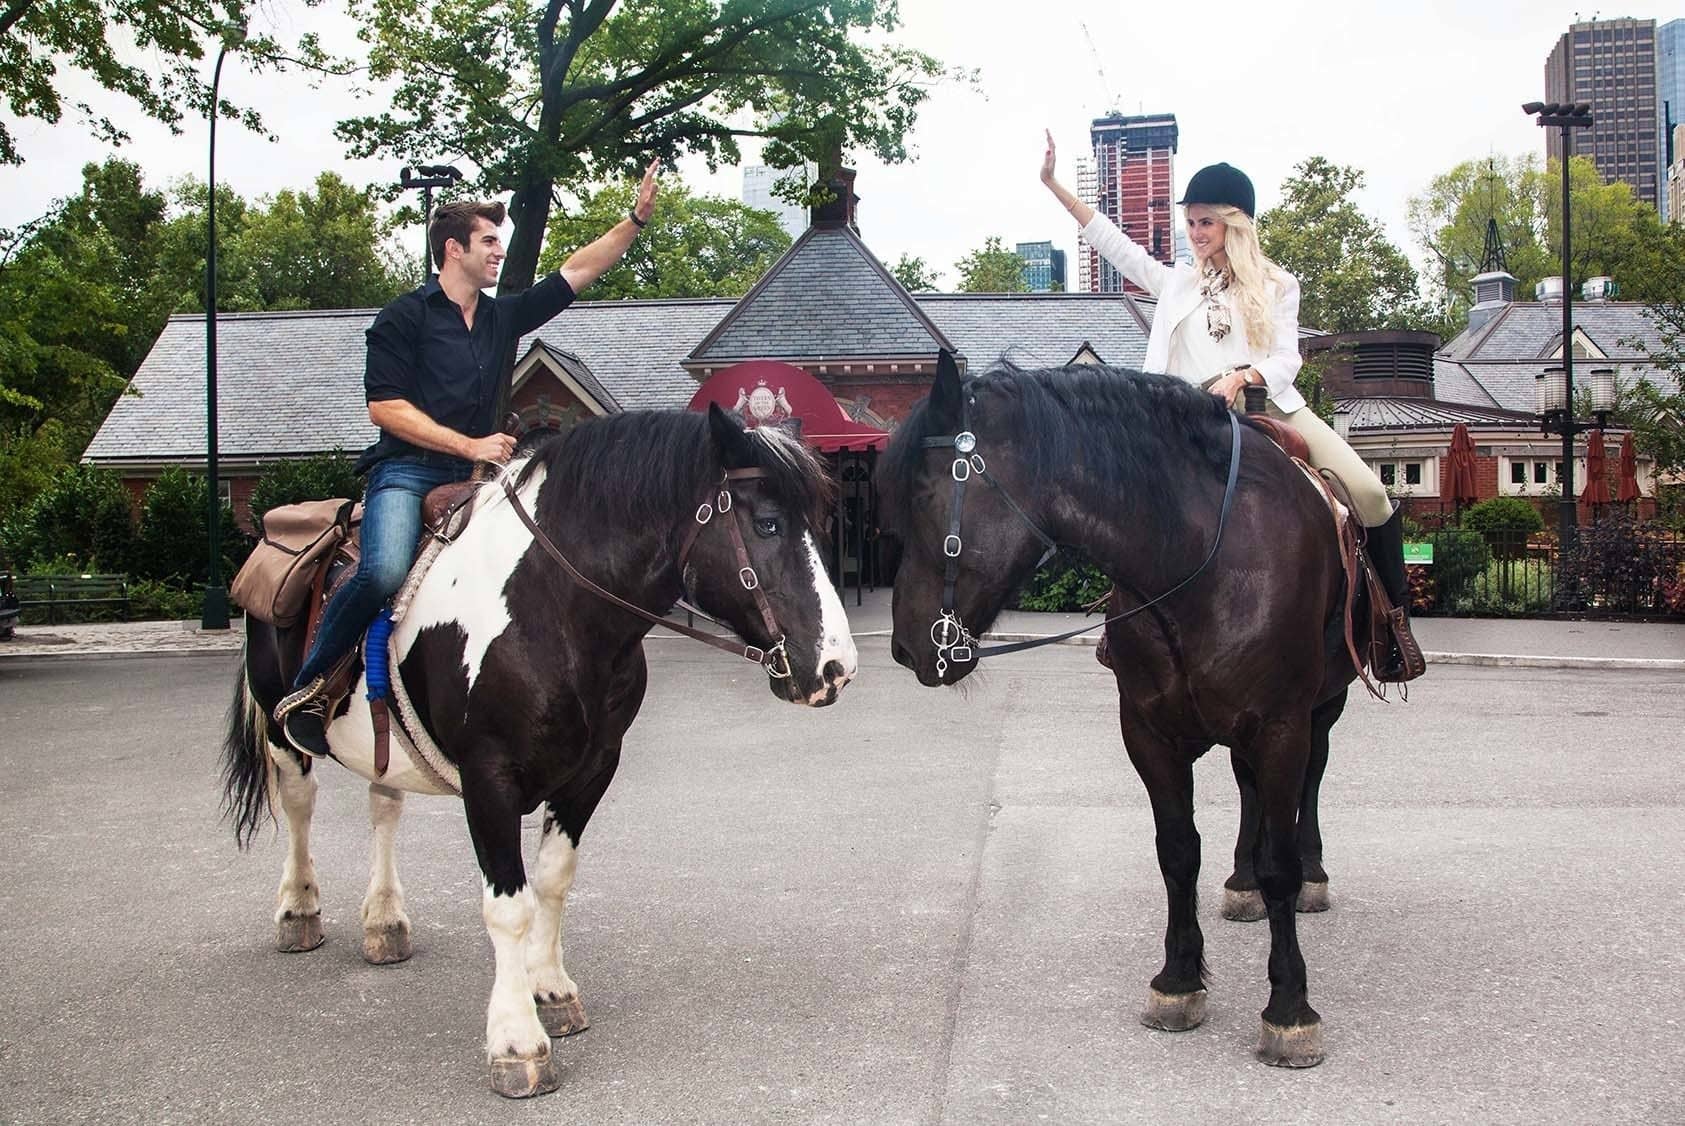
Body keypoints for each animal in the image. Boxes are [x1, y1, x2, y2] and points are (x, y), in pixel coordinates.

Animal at [224, 406, 855, 1099]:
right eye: (767, 523)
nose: (837, 668)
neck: (550, 608)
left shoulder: (592, 771)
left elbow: (552, 880)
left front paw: (549, 989)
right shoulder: (489, 779)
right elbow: (508, 906)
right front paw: (516, 1041)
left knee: (383, 805)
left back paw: (385, 920)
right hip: (281, 728)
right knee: (299, 802)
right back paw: (298, 908)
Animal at [882, 355, 1368, 1072]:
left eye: (919, 497)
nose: (905, 647)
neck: (1198, 562)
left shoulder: (1281, 724)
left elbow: (1278, 857)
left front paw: (1289, 1008)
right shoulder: (1147, 732)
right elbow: (1177, 853)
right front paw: (1179, 979)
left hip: (1322, 708)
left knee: (1310, 783)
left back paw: (1311, 874)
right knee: (1248, 791)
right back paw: (1242, 881)